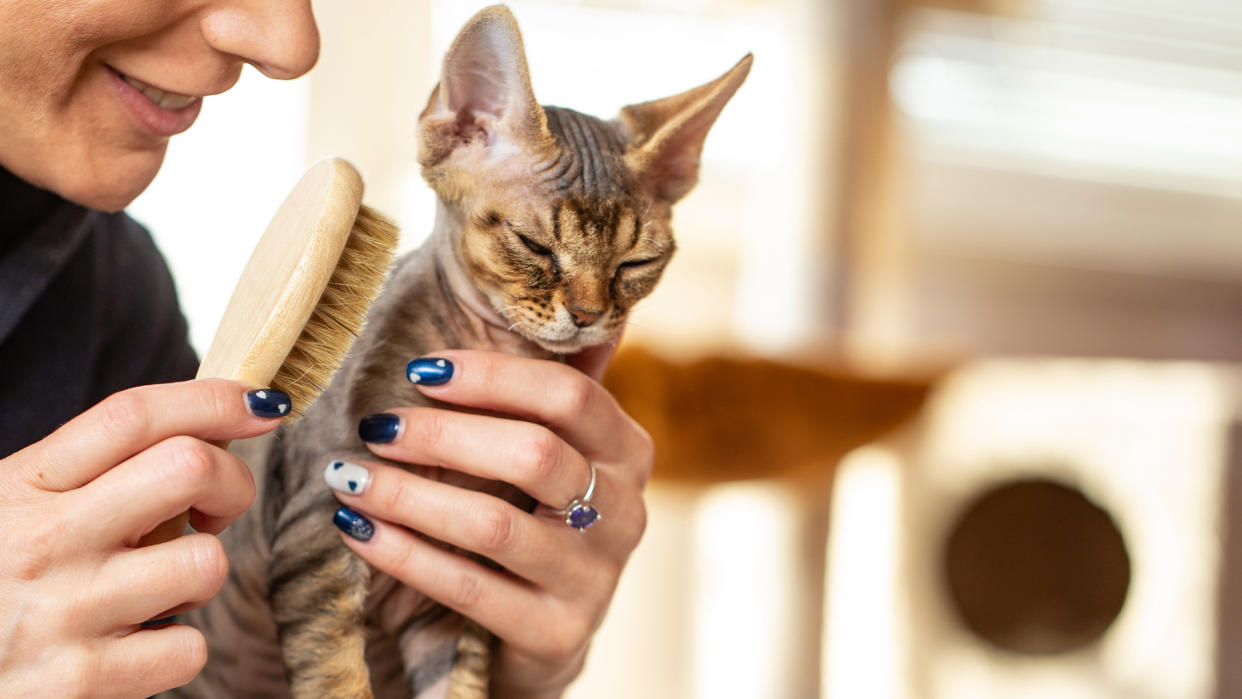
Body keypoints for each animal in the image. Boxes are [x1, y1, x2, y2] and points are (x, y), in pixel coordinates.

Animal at [171, 6, 750, 699]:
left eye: (635, 265)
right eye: (534, 245)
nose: (588, 317)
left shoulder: (449, 599)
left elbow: (460, 683)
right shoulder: (317, 533)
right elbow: (337, 679)